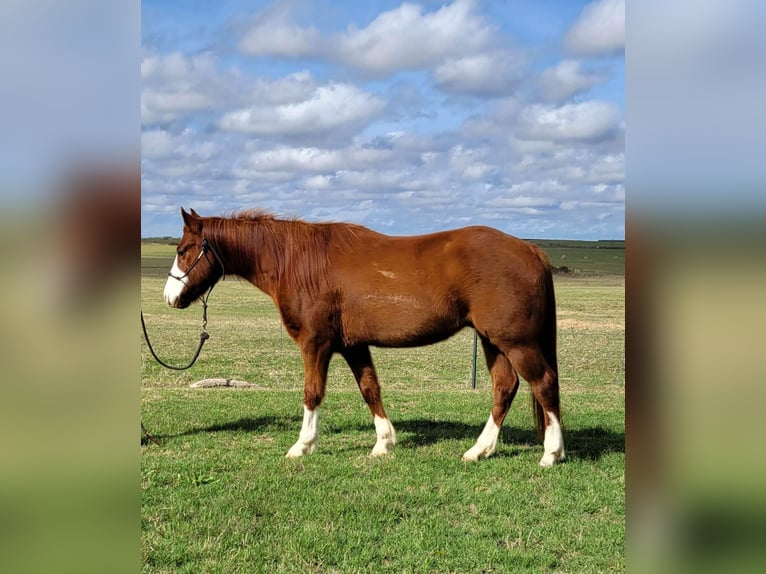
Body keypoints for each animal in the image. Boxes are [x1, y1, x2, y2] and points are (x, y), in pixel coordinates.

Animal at [165, 210, 568, 468]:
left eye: (184, 250)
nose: (169, 297)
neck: (299, 261)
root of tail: (531, 249)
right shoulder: (352, 345)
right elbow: (370, 389)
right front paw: (383, 443)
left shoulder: (316, 342)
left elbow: (313, 393)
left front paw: (302, 445)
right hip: (492, 341)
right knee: (505, 387)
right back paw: (480, 450)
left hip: (515, 342)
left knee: (544, 383)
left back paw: (551, 453)